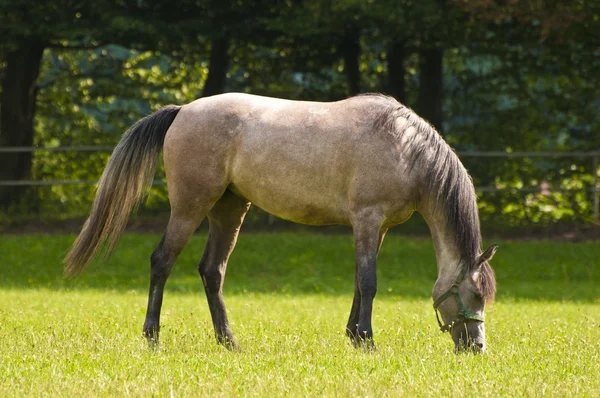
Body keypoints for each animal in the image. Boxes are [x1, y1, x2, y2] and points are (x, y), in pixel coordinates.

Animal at [64, 92, 496, 352]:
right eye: (475, 295)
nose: (477, 347)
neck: (404, 148)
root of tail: (182, 111)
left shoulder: (379, 228)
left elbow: (359, 281)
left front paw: (354, 337)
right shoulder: (367, 219)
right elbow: (369, 282)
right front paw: (368, 341)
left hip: (229, 210)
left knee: (212, 271)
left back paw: (228, 342)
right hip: (190, 207)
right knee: (162, 261)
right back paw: (152, 337)